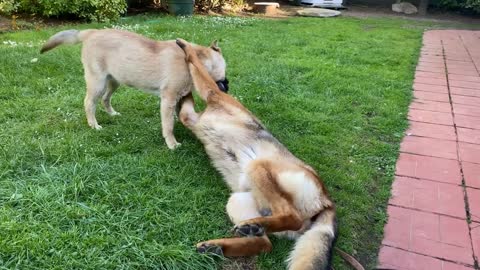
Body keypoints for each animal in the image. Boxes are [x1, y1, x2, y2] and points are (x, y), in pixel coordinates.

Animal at [39, 29, 229, 150]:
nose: (227, 85)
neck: (192, 60)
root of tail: (90, 32)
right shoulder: (168, 99)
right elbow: (168, 125)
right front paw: (172, 144)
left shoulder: (177, 98)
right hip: (97, 82)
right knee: (89, 103)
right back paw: (94, 125)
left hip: (114, 81)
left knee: (105, 99)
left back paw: (112, 114)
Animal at [176, 38, 338, 270]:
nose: (227, 83)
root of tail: (327, 201)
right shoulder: (192, 116)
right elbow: (183, 110)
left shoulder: (210, 91)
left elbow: (195, 64)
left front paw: (185, 46)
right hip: (237, 200)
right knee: (264, 244)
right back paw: (221, 244)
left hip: (258, 167)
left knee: (291, 217)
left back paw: (250, 228)